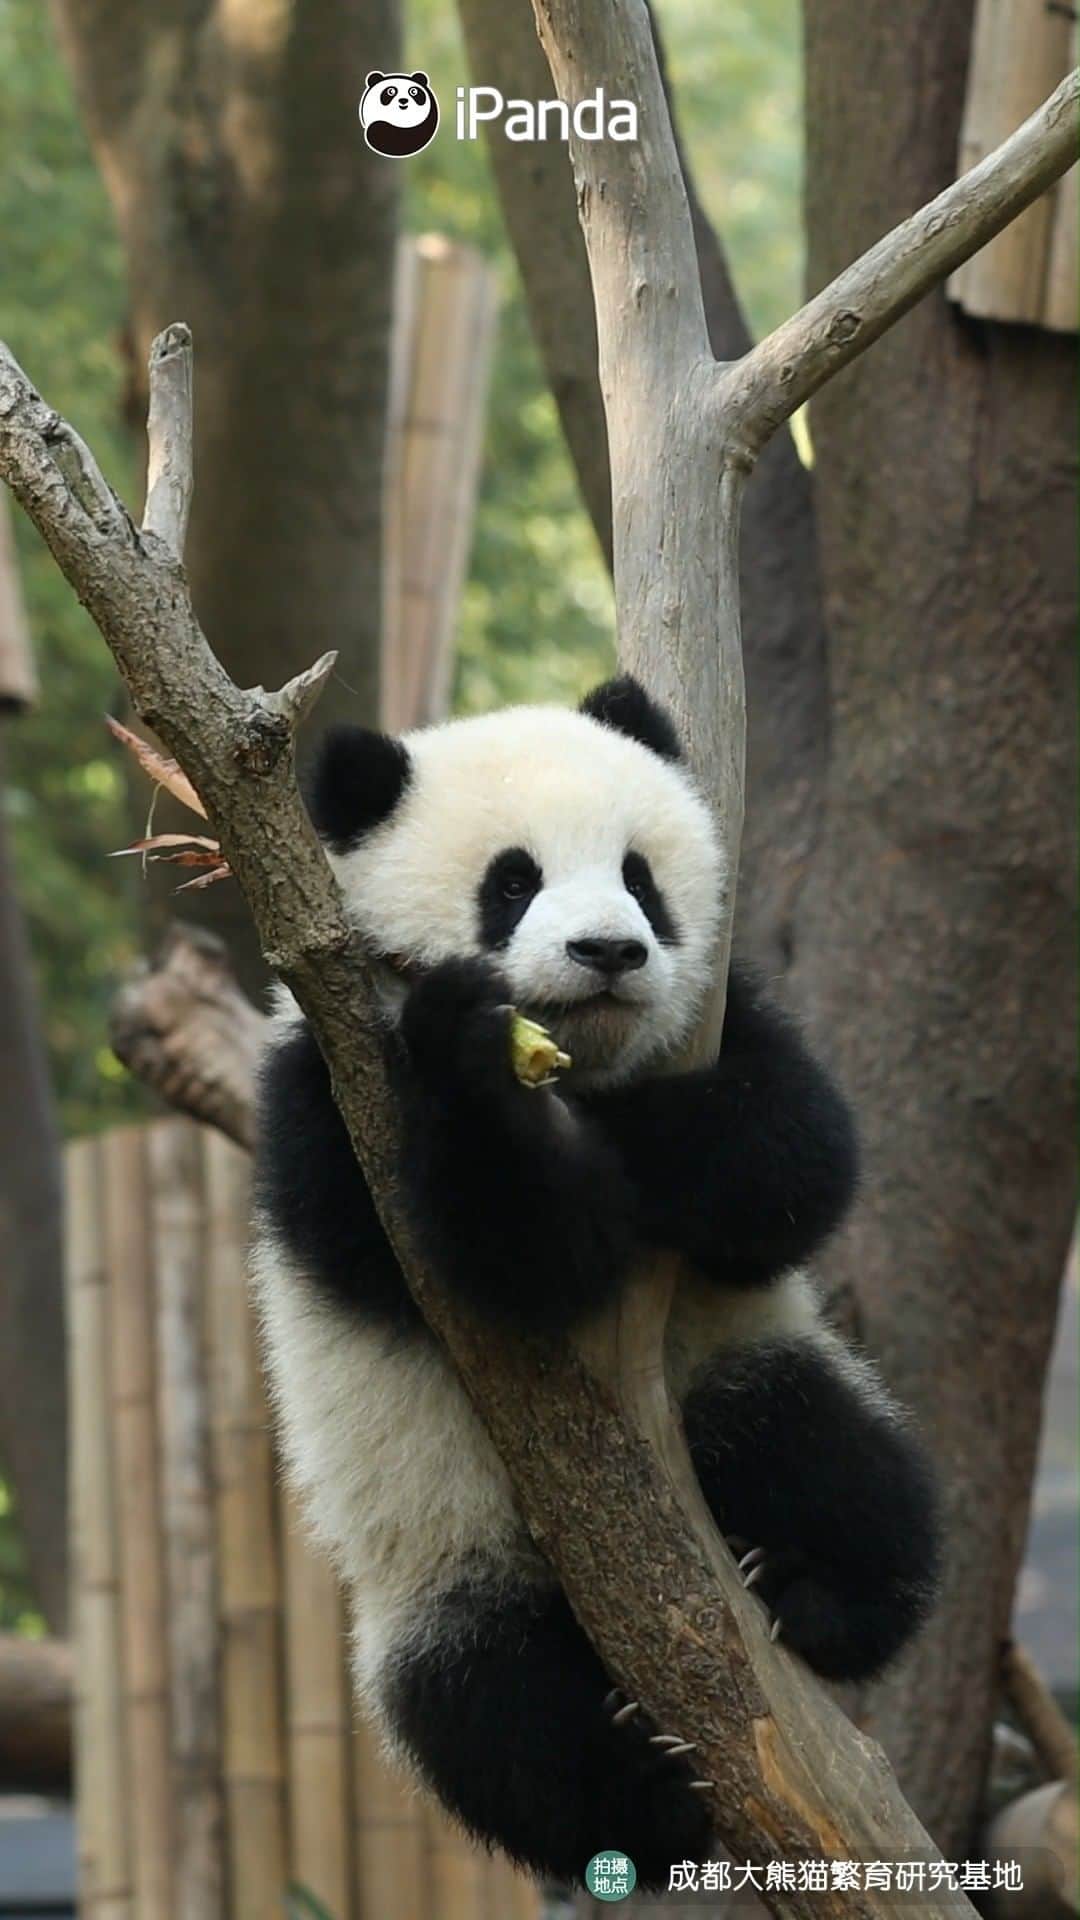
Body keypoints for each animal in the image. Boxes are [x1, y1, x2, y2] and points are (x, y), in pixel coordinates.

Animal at [251, 677, 941, 1891]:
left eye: (640, 877)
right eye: (511, 882)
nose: (610, 951)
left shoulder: (723, 1009)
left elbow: (793, 1156)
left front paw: (638, 1147)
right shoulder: (328, 1096)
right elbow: (491, 1259)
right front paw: (479, 1060)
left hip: (741, 1371)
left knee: (826, 1455)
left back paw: (811, 1593)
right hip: (438, 1564)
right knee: (490, 1707)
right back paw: (643, 1789)